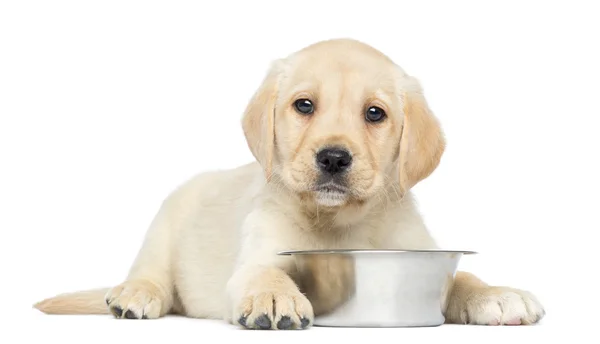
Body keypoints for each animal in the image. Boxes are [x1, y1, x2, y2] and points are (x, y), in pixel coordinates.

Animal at [35, 37, 548, 328]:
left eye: (375, 113)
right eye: (304, 105)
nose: (334, 157)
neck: (340, 223)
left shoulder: (416, 244)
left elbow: (462, 276)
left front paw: (495, 294)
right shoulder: (257, 253)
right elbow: (266, 271)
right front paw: (275, 295)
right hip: (165, 222)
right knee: (150, 274)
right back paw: (134, 295)